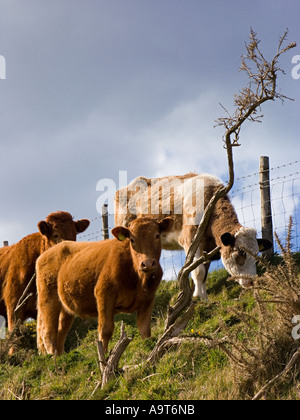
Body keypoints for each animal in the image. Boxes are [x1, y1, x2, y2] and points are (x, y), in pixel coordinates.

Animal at [35, 217, 173, 354]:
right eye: (132, 240)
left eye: (157, 235)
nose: (148, 263)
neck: (139, 279)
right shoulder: (104, 294)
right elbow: (105, 329)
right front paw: (105, 355)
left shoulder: (149, 299)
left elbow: (145, 329)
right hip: (48, 299)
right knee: (48, 332)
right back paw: (53, 357)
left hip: (66, 307)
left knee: (60, 332)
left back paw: (61, 356)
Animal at [115, 172, 272, 300]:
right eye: (240, 253)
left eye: (256, 254)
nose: (252, 281)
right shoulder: (190, 240)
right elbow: (198, 271)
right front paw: (199, 297)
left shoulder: (207, 249)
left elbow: (204, 273)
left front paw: (203, 296)